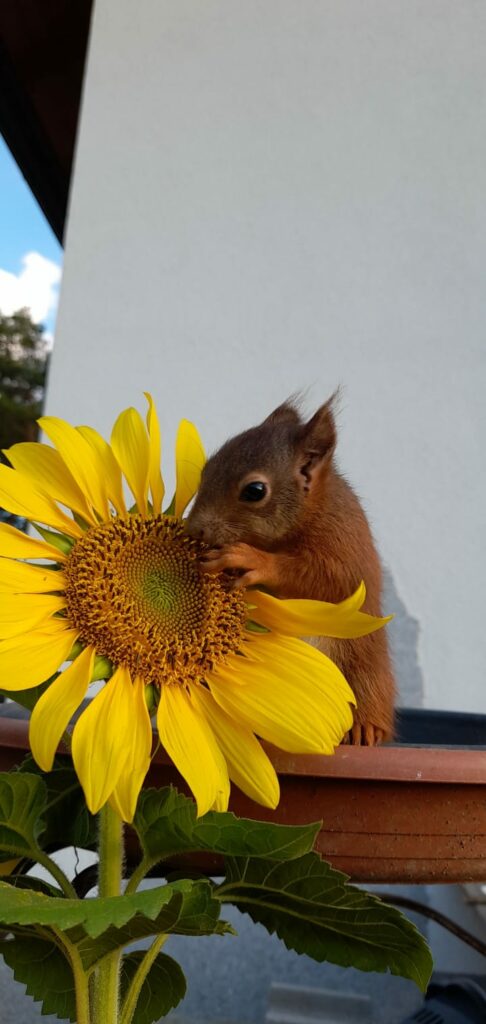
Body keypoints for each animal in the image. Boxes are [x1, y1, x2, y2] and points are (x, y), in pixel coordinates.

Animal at [185, 397, 395, 745]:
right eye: (206, 469)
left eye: (255, 491)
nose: (195, 530)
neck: (310, 511)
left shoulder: (344, 547)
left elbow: (324, 579)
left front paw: (252, 559)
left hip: (364, 662)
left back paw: (365, 728)